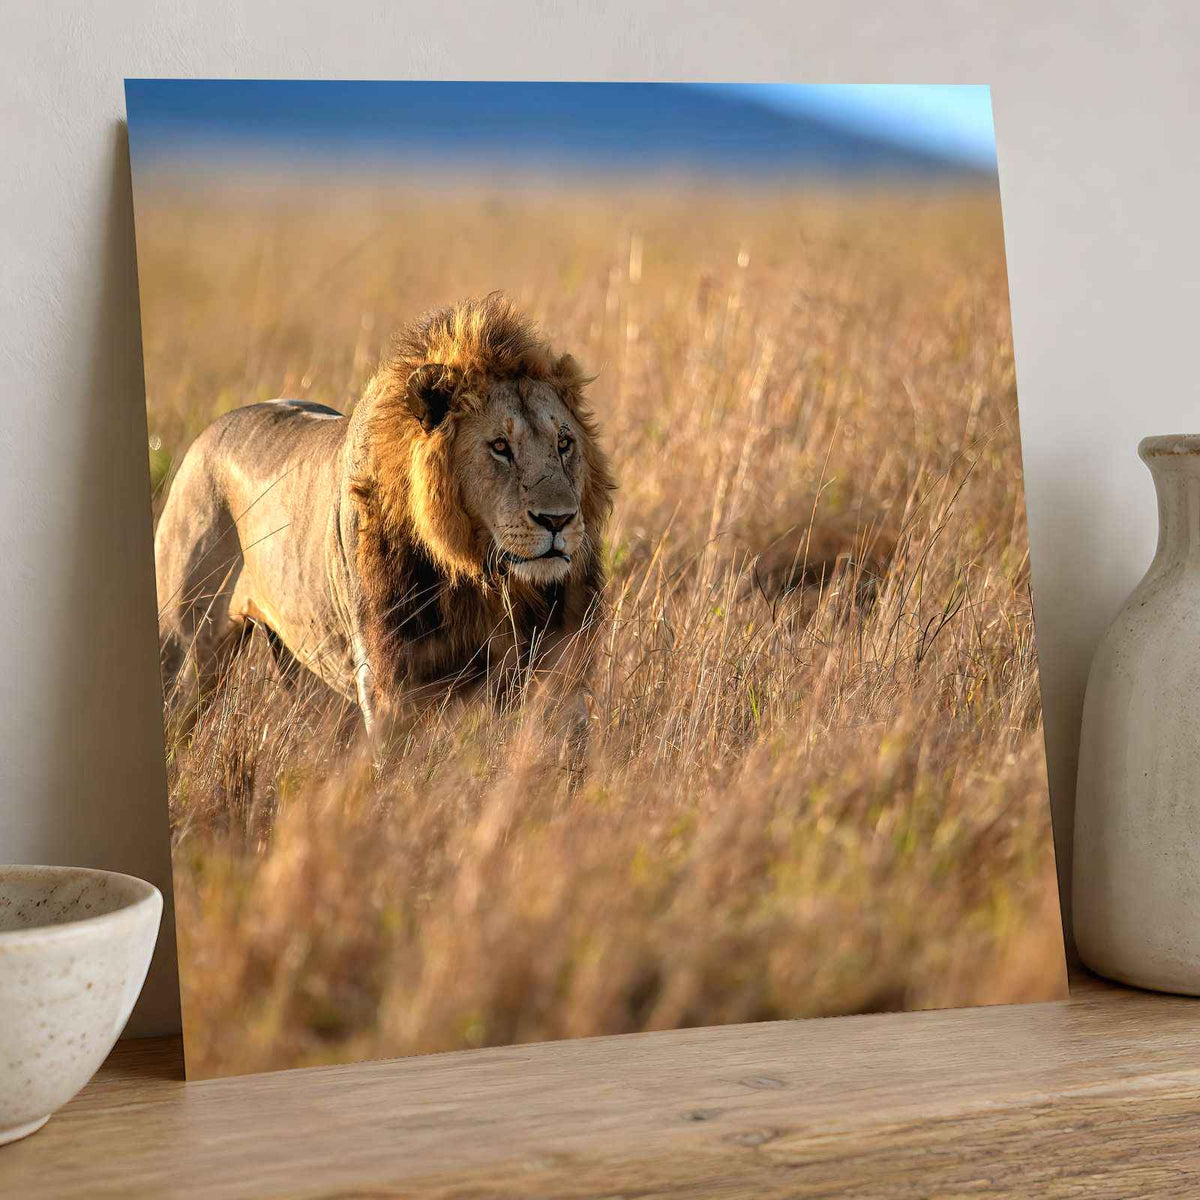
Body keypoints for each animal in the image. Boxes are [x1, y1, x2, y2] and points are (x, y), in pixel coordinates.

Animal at [154, 295, 616, 749]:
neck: (480, 575)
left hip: (310, 667)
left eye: (564, 443)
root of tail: (203, 438)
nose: (558, 520)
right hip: (186, 655)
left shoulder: (561, 677)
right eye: (500, 446)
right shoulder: (391, 688)